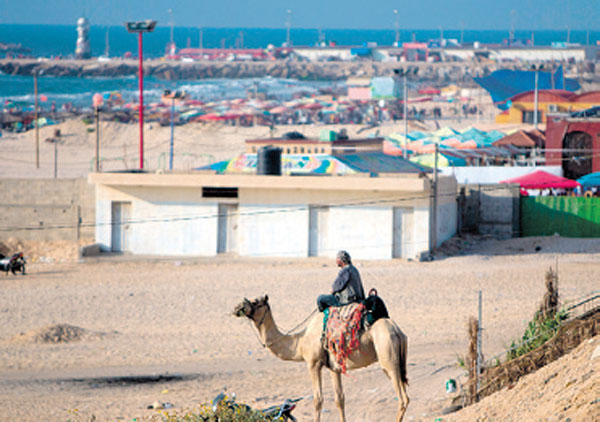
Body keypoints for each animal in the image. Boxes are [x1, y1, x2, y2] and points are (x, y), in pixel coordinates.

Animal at [232, 296, 410, 422]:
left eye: (255, 301)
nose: (236, 307)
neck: (300, 342)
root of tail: (397, 331)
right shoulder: (334, 367)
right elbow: (340, 399)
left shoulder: (313, 363)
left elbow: (318, 399)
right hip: (397, 363)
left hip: (388, 359)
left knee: (403, 399)